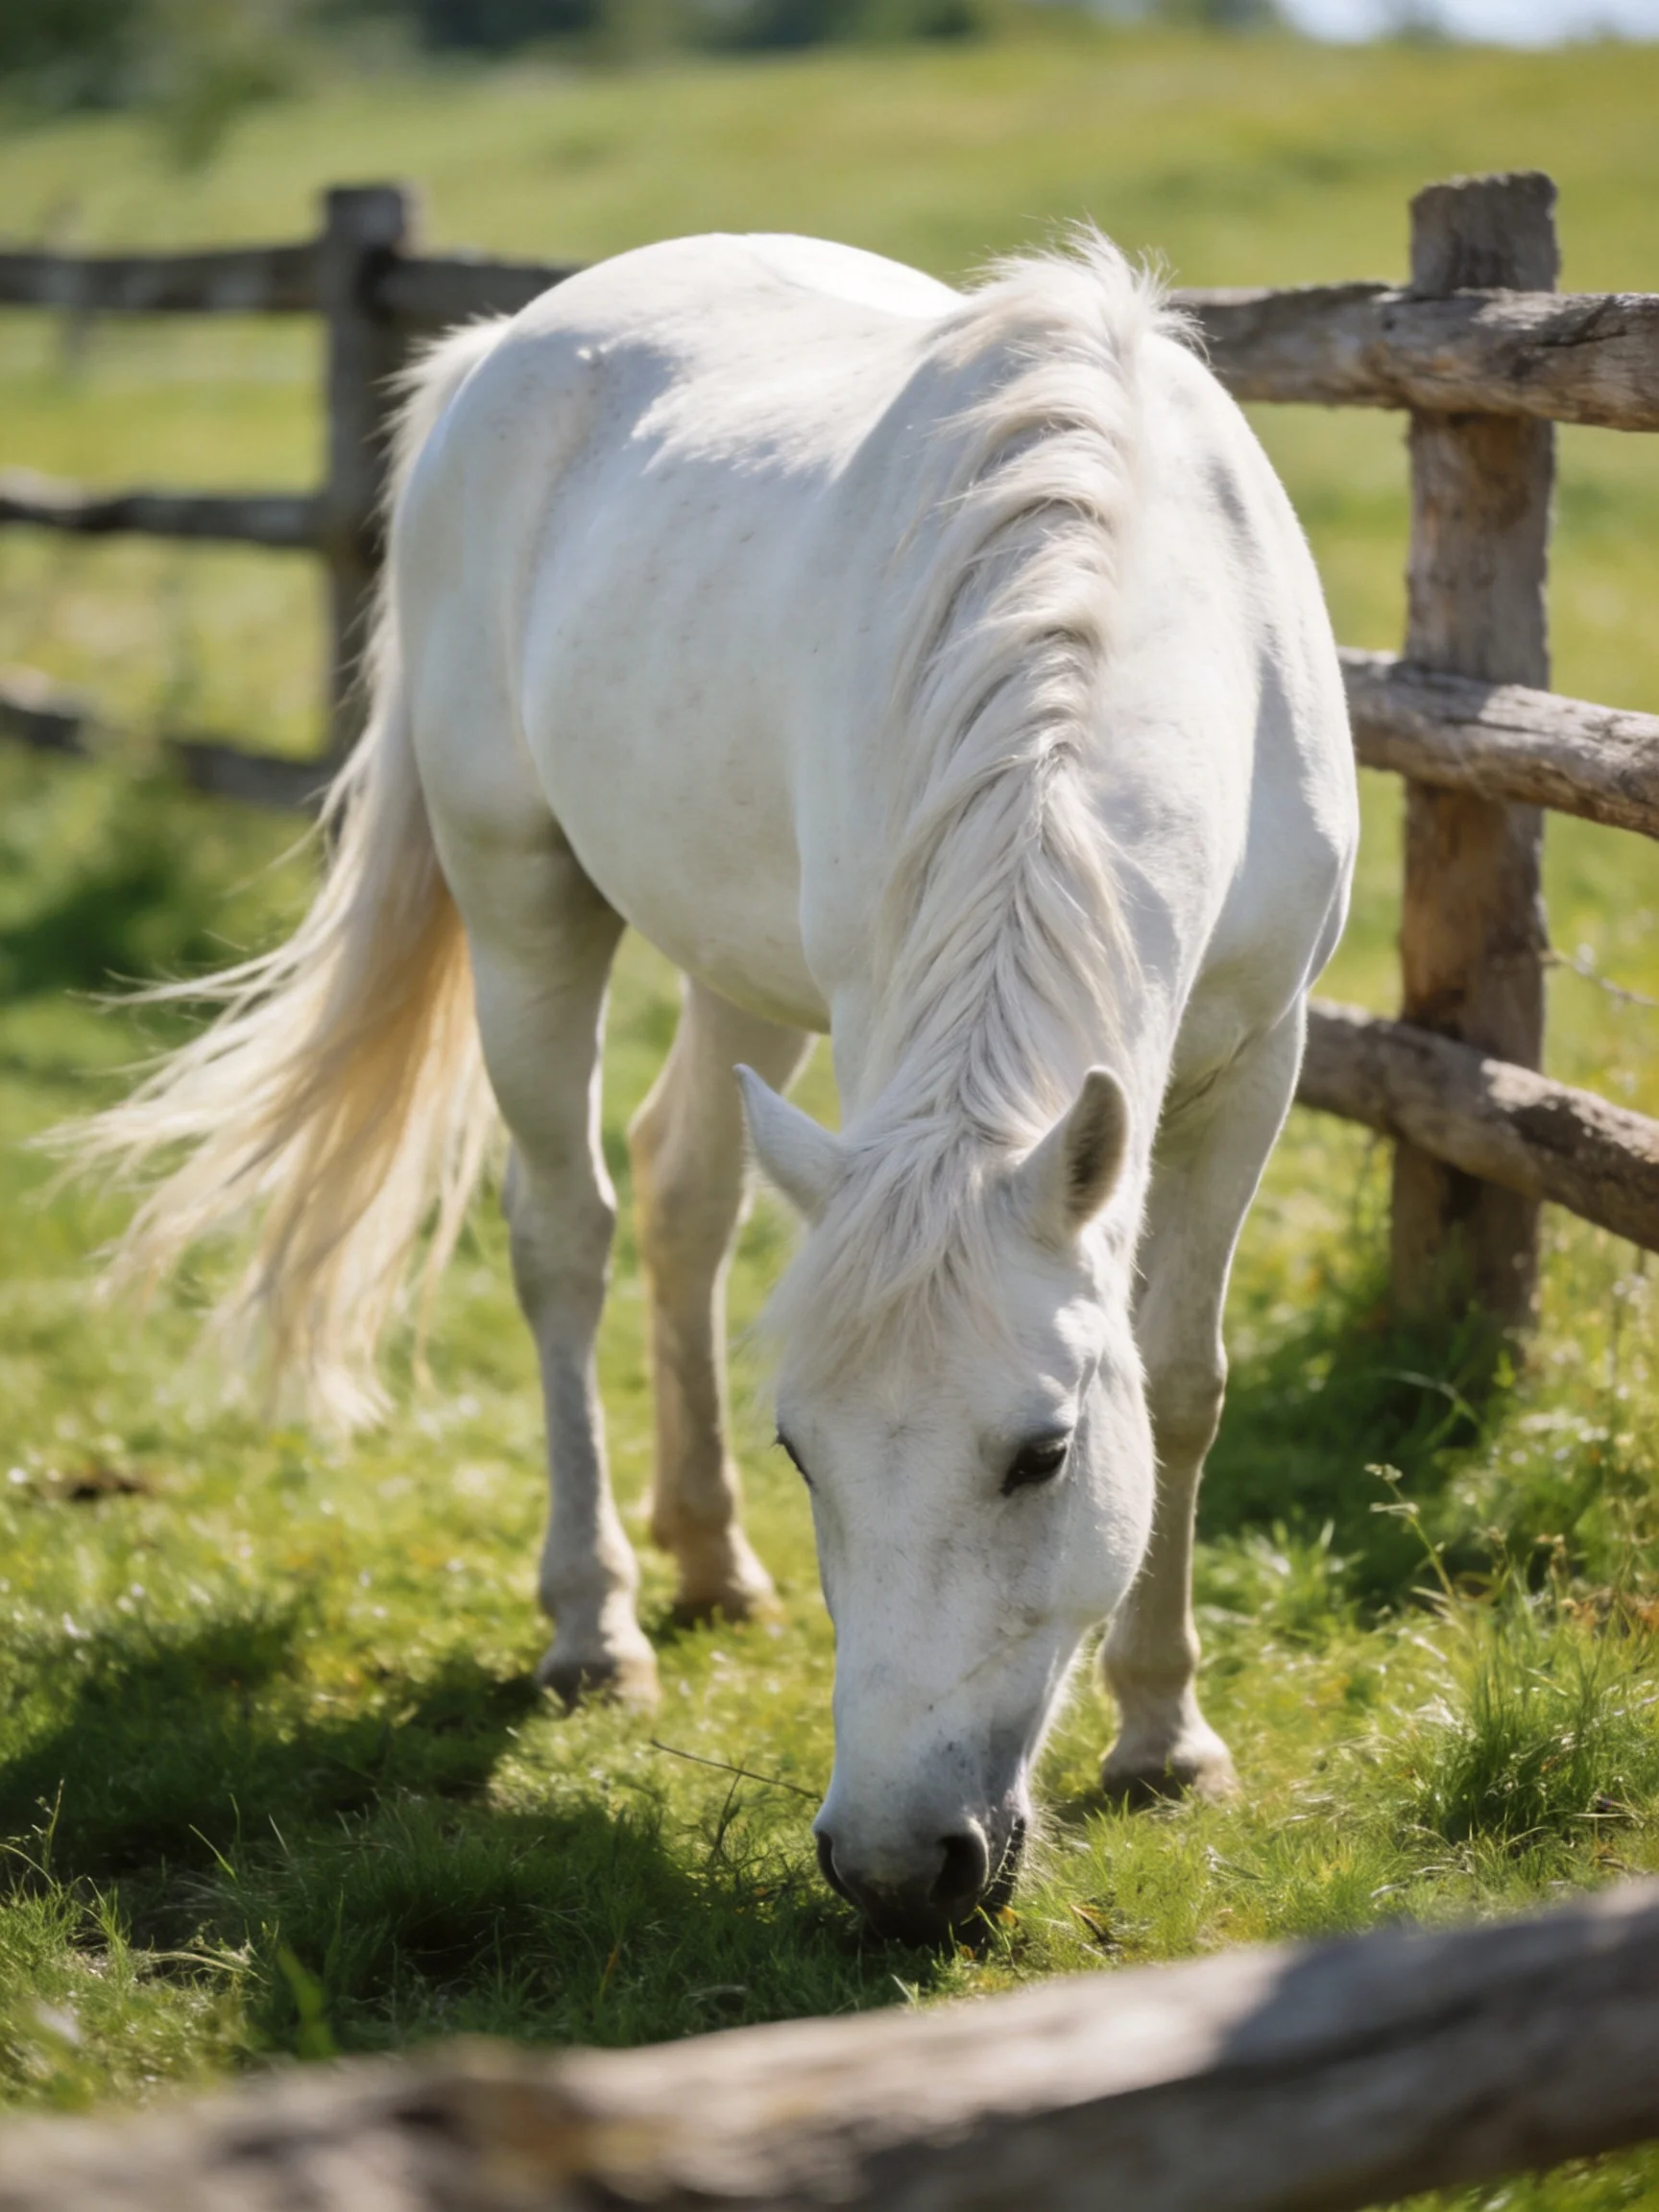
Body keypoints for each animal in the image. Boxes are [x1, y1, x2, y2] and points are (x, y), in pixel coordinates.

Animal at [78, 226, 1357, 1945]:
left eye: (1041, 1457)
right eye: (805, 1448)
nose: (895, 1869)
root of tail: (504, 343)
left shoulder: (1260, 1055)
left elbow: (1183, 1379)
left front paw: (1165, 1741)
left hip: (739, 973)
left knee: (684, 1187)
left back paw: (707, 1561)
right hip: (525, 905)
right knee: (567, 1232)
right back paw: (595, 1626)